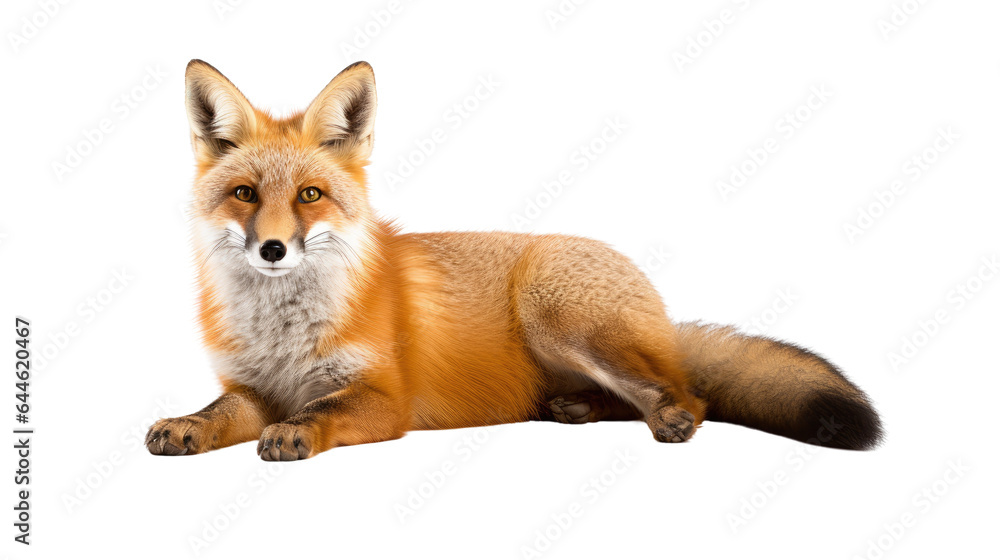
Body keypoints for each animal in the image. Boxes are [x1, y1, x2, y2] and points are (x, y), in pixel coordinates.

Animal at [146, 60, 883, 461]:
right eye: (245, 193)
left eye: (309, 195)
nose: (273, 248)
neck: (284, 334)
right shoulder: (252, 390)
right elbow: (217, 412)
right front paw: (186, 426)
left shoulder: (384, 398)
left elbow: (316, 413)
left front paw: (294, 434)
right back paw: (578, 408)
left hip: (563, 322)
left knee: (689, 394)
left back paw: (666, 418)